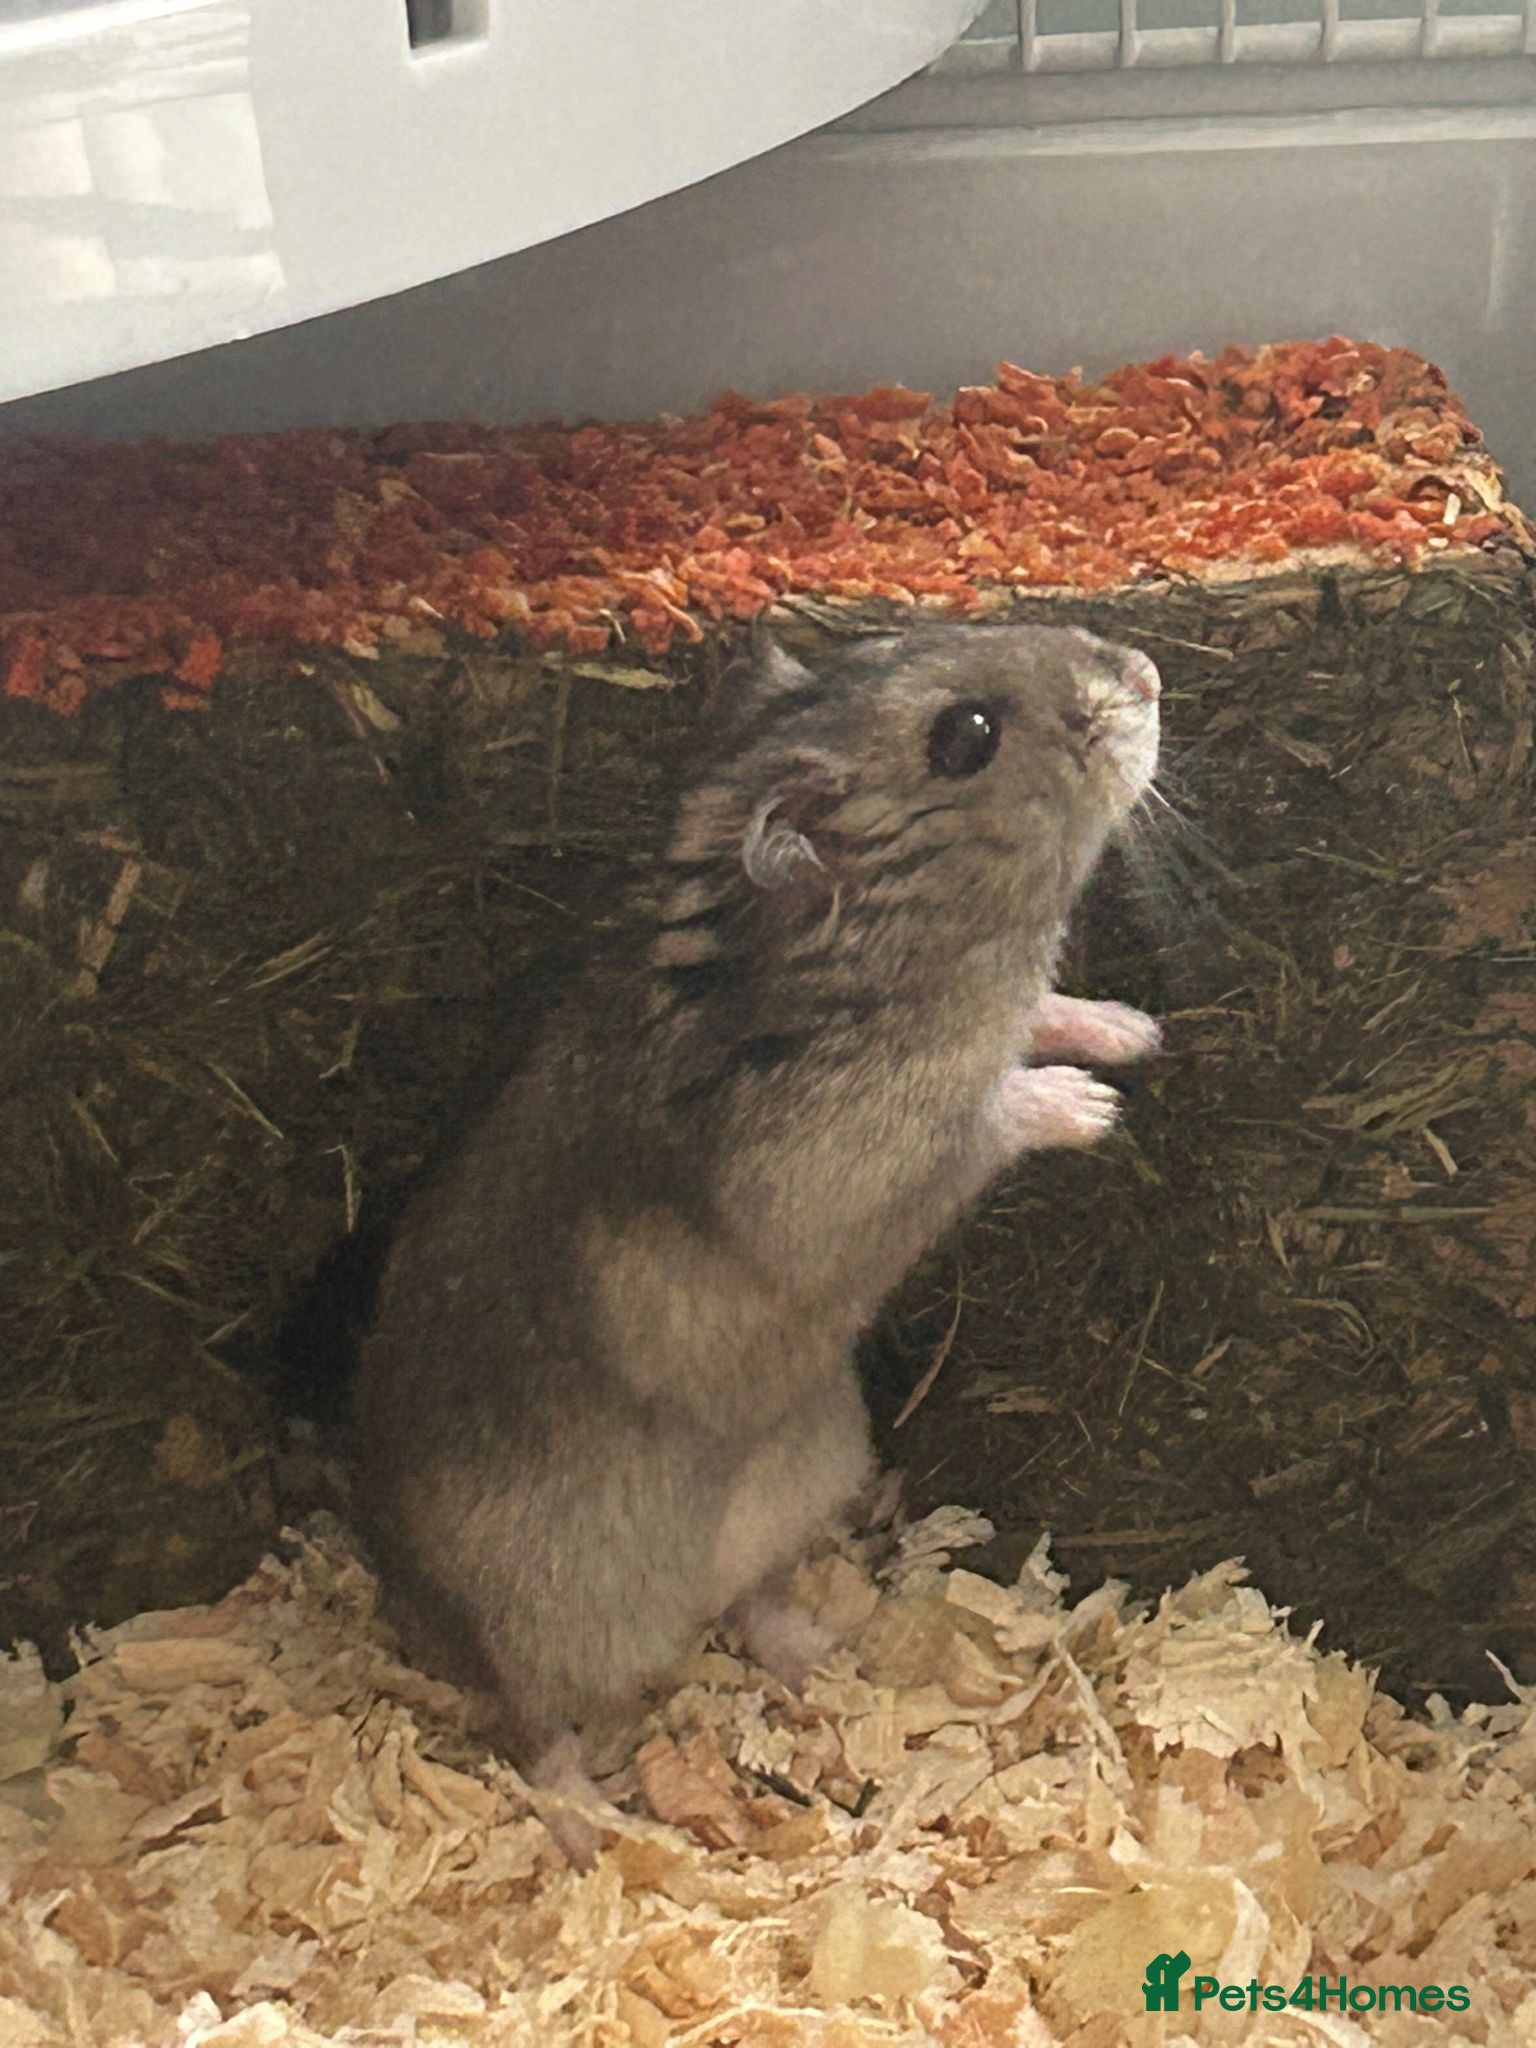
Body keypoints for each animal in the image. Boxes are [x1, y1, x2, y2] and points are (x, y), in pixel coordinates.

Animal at [355, 621, 1160, 1862]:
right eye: (967, 735)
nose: (1151, 677)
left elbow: (1045, 1013)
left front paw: (1134, 1032)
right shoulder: (844, 1155)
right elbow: (992, 1109)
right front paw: (1092, 1106)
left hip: (806, 1469)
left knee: (747, 1601)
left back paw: (826, 1657)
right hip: (531, 1613)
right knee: (528, 1721)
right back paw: (596, 1826)